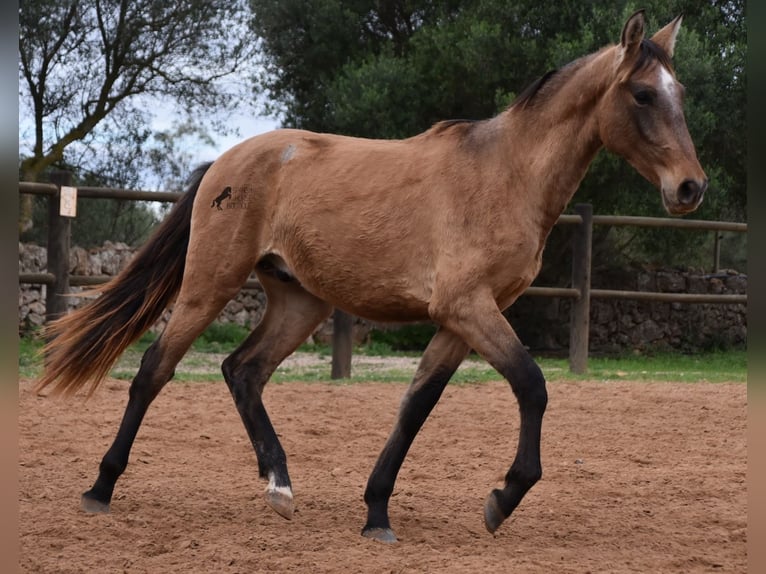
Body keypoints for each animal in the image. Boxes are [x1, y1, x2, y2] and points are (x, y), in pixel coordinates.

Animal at [34, 12, 708, 544]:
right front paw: (502, 499)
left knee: (243, 371)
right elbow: (532, 386)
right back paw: (100, 489)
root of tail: (225, 161)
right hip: (209, 286)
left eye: (678, 92)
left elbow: (415, 408)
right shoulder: (468, 308)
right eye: (643, 95)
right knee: (155, 370)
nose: (690, 188)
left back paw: (280, 487)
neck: (505, 174)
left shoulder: (459, 322)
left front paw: (377, 512)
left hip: (299, 302)